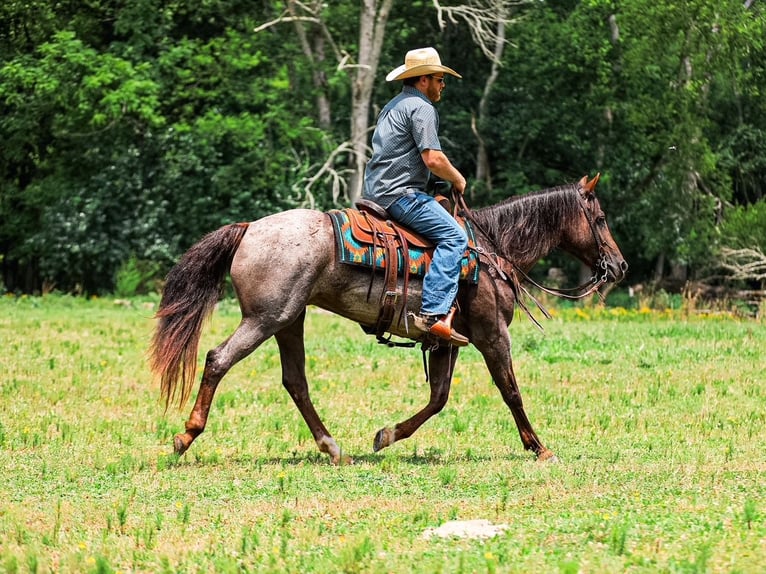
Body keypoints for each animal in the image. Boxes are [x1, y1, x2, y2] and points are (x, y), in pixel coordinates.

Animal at [149, 174, 627, 464]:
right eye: (601, 218)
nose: (619, 266)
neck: (493, 248)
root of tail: (249, 228)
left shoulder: (447, 340)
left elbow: (438, 399)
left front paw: (386, 435)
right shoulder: (493, 334)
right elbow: (510, 391)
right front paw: (539, 447)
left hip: (289, 320)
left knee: (295, 382)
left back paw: (333, 448)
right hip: (266, 318)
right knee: (218, 359)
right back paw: (185, 436)